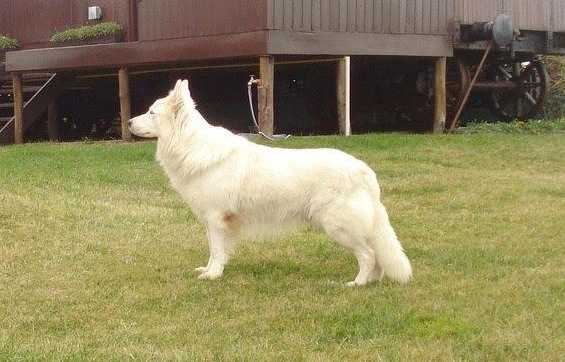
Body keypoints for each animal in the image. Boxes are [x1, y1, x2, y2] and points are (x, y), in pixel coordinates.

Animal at [129, 79, 410, 286]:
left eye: (151, 112)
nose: (129, 121)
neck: (191, 145)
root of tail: (365, 171)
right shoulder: (210, 221)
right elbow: (212, 250)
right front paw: (208, 270)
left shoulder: (217, 218)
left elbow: (217, 250)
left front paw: (213, 275)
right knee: (376, 257)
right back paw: (370, 283)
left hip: (338, 226)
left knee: (368, 255)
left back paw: (357, 284)